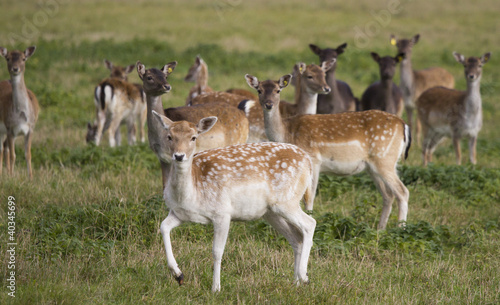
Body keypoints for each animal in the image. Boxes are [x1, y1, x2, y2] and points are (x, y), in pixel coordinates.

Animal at [0, 45, 39, 178]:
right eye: (7, 58)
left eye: (23, 58)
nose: (15, 68)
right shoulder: (10, 128)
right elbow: (13, 155)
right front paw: (12, 177)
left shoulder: (31, 128)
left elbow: (28, 154)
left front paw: (31, 178)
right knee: (2, 149)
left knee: (4, 148)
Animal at [151, 110, 316, 290]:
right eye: (169, 136)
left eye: (193, 137)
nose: (179, 156)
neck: (192, 192)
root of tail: (308, 162)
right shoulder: (179, 213)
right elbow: (163, 227)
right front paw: (178, 274)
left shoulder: (222, 212)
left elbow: (217, 251)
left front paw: (216, 288)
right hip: (271, 212)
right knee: (296, 238)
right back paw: (296, 282)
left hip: (287, 200)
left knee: (309, 223)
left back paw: (304, 276)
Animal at [243, 73, 410, 228]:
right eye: (259, 90)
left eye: (278, 90)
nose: (268, 104)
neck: (287, 133)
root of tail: (403, 125)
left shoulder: (314, 159)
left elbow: (309, 197)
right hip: (372, 167)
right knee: (388, 195)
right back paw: (380, 229)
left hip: (384, 159)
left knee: (402, 191)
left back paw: (400, 228)